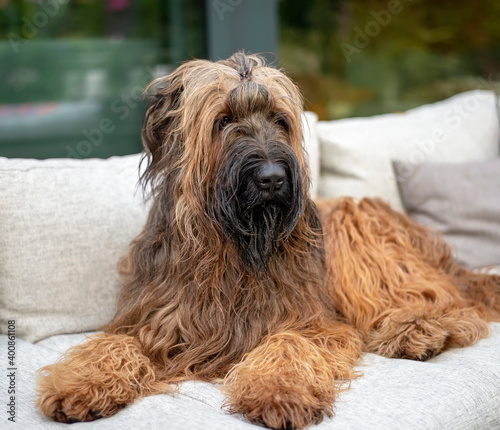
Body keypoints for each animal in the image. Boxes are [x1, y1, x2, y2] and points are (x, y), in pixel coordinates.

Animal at [36, 52, 500, 428]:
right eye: (222, 121)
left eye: (280, 120)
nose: (273, 178)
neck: (234, 248)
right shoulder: (151, 320)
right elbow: (111, 342)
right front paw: (77, 385)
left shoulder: (313, 321)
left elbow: (290, 340)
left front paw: (280, 393)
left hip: (356, 223)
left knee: (446, 301)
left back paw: (418, 330)